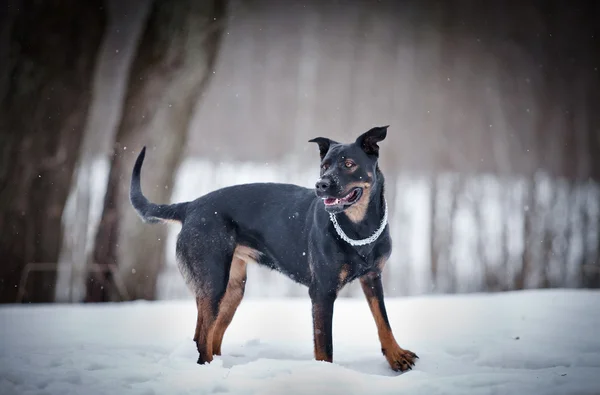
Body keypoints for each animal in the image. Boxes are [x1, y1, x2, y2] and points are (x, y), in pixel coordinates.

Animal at [129, 125, 418, 372]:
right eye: (324, 166)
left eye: (349, 164)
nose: (321, 184)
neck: (359, 229)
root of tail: (190, 206)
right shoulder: (322, 292)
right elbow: (325, 345)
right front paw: (326, 376)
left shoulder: (373, 277)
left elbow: (383, 320)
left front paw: (396, 356)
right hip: (213, 282)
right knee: (202, 337)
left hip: (233, 289)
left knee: (212, 335)